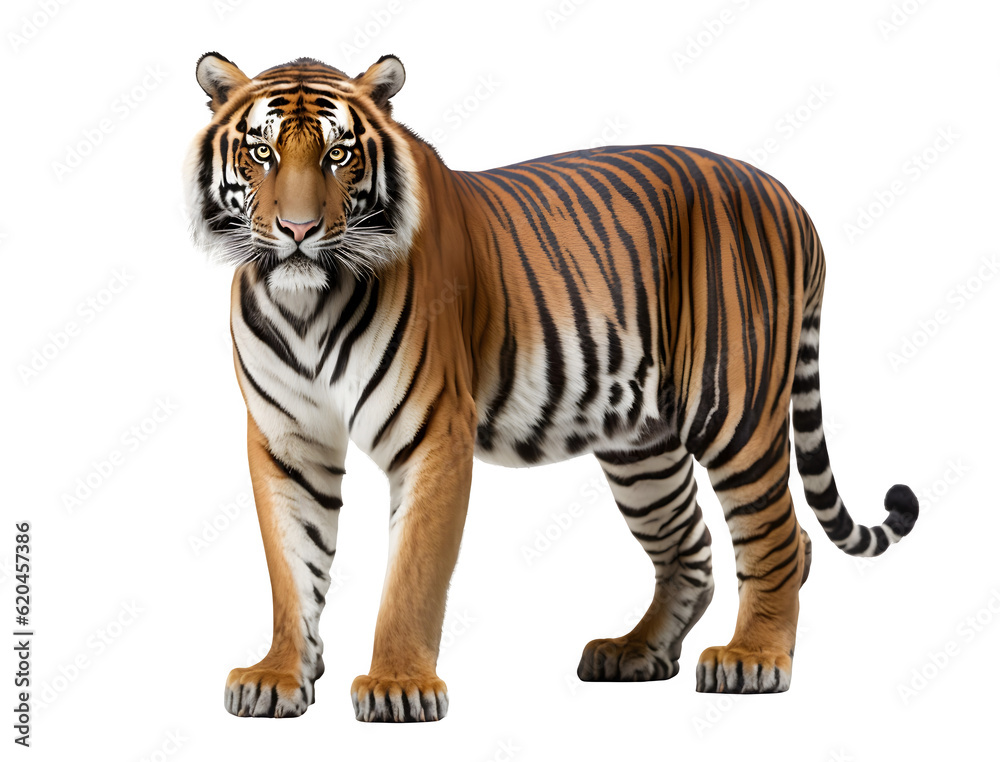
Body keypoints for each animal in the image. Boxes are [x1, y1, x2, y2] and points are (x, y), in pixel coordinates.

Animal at [184, 52, 919, 722]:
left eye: (339, 154)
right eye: (261, 151)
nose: (298, 231)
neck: (307, 306)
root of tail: (788, 197)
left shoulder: (433, 433)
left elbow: (412, 575)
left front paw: (398, 685)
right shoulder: (288, 441)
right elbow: (292, 567)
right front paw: (279, 675)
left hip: (734, 408)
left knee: (779, 535)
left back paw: (754, 658)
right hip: (642, 448)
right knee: (692, 547)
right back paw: (635, 651)